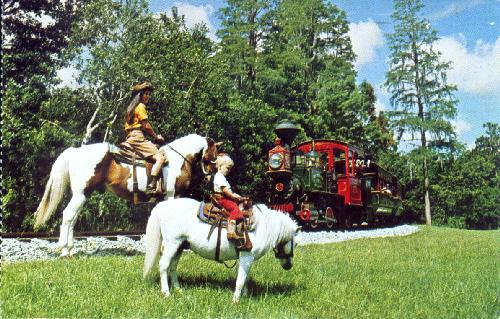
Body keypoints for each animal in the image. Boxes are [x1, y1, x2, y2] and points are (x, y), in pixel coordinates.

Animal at [34, 134, 221, 258]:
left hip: (83, 195)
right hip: (80, 195)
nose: (211, 175)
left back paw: (71, 249)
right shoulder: (172, 196)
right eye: (214, 154)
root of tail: (76, 152)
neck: (177, 160)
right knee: (67, 216)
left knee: (72, 219)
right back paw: (64, 251)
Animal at [144, 199, 300, 304]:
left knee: (172, 267)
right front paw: (236, 300)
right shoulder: (247, 256)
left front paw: (244, 296)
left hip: (180, 246)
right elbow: (240, 280)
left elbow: (245, 277)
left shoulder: (246, 259)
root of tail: (163, 206)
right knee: (164, 265)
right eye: (295, 242)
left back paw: (178, 289)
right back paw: (166, 293)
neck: (262, 226)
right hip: (172, 244)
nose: (289, 265)